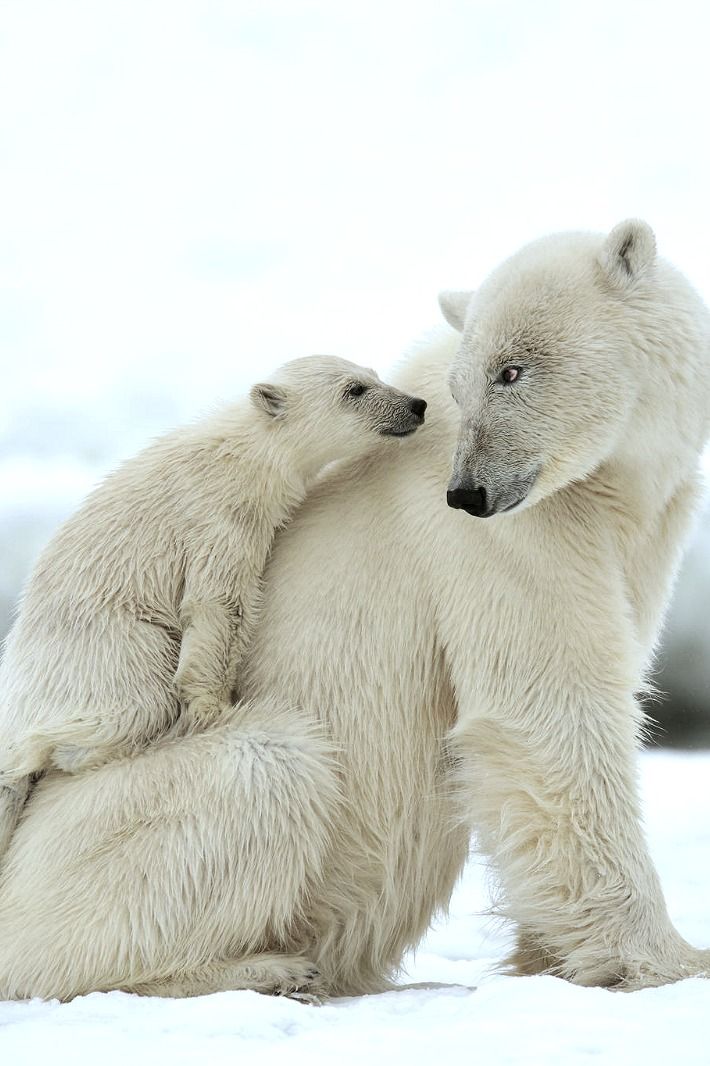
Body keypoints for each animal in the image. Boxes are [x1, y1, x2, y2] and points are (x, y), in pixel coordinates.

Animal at [0, 356, 422, 857]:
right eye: (354, 389)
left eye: (375, 374)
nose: (416, 405)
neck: (243, 453)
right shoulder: (216, 517)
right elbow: (218, 603)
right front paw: (213, 712)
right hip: (105, 650)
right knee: (131, 701)